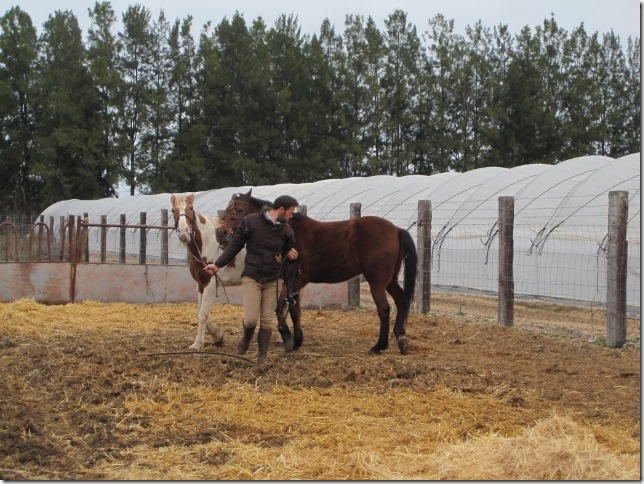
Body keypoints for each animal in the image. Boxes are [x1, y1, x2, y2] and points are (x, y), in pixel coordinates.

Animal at [169, 194, 244, 352]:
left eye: (191, 208)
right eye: (173, 210)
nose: (184, 233)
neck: (206, 242)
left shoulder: (210, 283)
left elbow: (203, 314)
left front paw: (197, 344)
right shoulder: (200, 284)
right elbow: (200, 311)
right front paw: (218, 336)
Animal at [216, 190, 418, 356]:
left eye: (239, 210)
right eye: (226, 209)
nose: (221, 232)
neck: (287, 230)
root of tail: (396, 229)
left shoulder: (296, 280)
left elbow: (292, 309)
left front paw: (295, 340)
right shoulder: (289, 281)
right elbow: (283, 307)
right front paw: (290, 338)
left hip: (377, 282)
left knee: (384, 309)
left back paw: (379, 346)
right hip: (389, 281)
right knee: (401, 301)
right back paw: (400, 338)